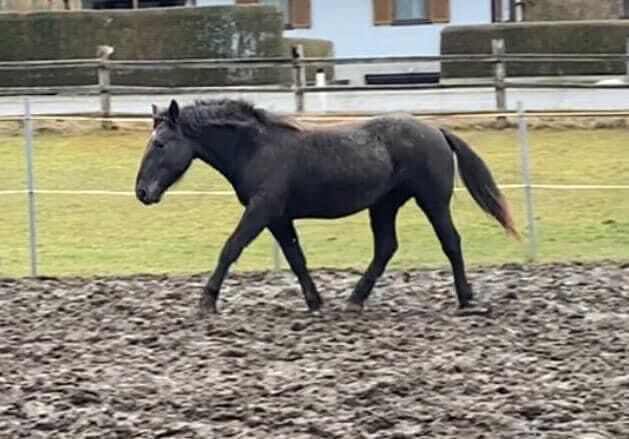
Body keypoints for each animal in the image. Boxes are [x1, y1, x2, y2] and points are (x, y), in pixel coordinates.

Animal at [134, 99, 520, 316]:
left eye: (161, 143)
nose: (141, 192)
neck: (257, 148)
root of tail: (436, 130)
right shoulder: (278, 218)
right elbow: (296, 258)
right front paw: (315, 302)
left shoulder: (262, 210)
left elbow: (231, 248)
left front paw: (206, 302)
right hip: (384, 206)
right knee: (386, 248)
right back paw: (354, 300)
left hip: (432, 201)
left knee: (450, 242)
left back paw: (466, 300)